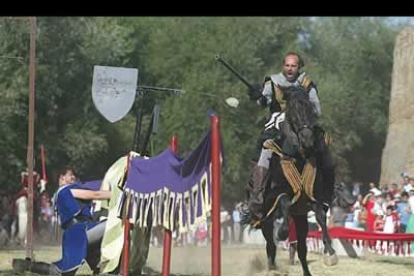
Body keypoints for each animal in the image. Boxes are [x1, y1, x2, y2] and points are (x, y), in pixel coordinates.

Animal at [254, 87, 354, 276]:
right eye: (293, 110)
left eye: (311, 108)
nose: (307, 138)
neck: (299, 159)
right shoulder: (274, 196)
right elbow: (285, 202)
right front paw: (282, 232)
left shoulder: (314, 199)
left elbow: (321, 216)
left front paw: (330, 252)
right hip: (266, 220)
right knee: (270, 246)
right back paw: (272, 266)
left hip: (300, 219)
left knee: (301, 250)